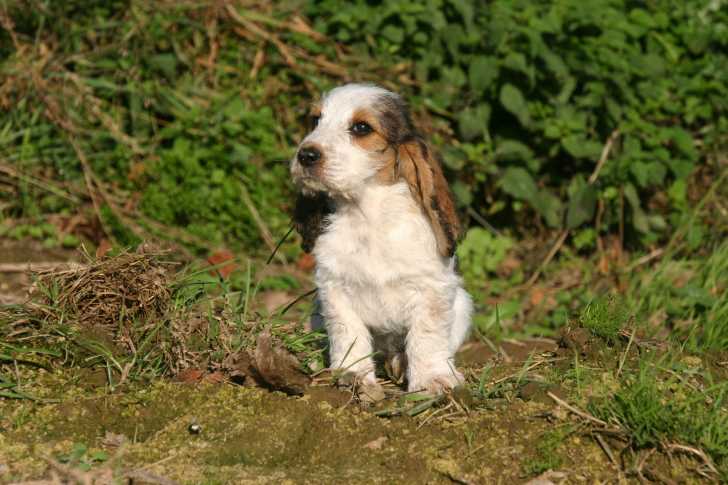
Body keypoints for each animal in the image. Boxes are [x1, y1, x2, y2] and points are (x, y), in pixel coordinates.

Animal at [291, 83, 472, 396]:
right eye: (315, 120)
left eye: (362, 127)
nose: (306, 155)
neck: (368, 216)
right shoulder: (334, 289)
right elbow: (348, 333)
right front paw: (352, 374)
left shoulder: (432, 289)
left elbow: (427, 336)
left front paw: (432, 378)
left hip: (463, 304)